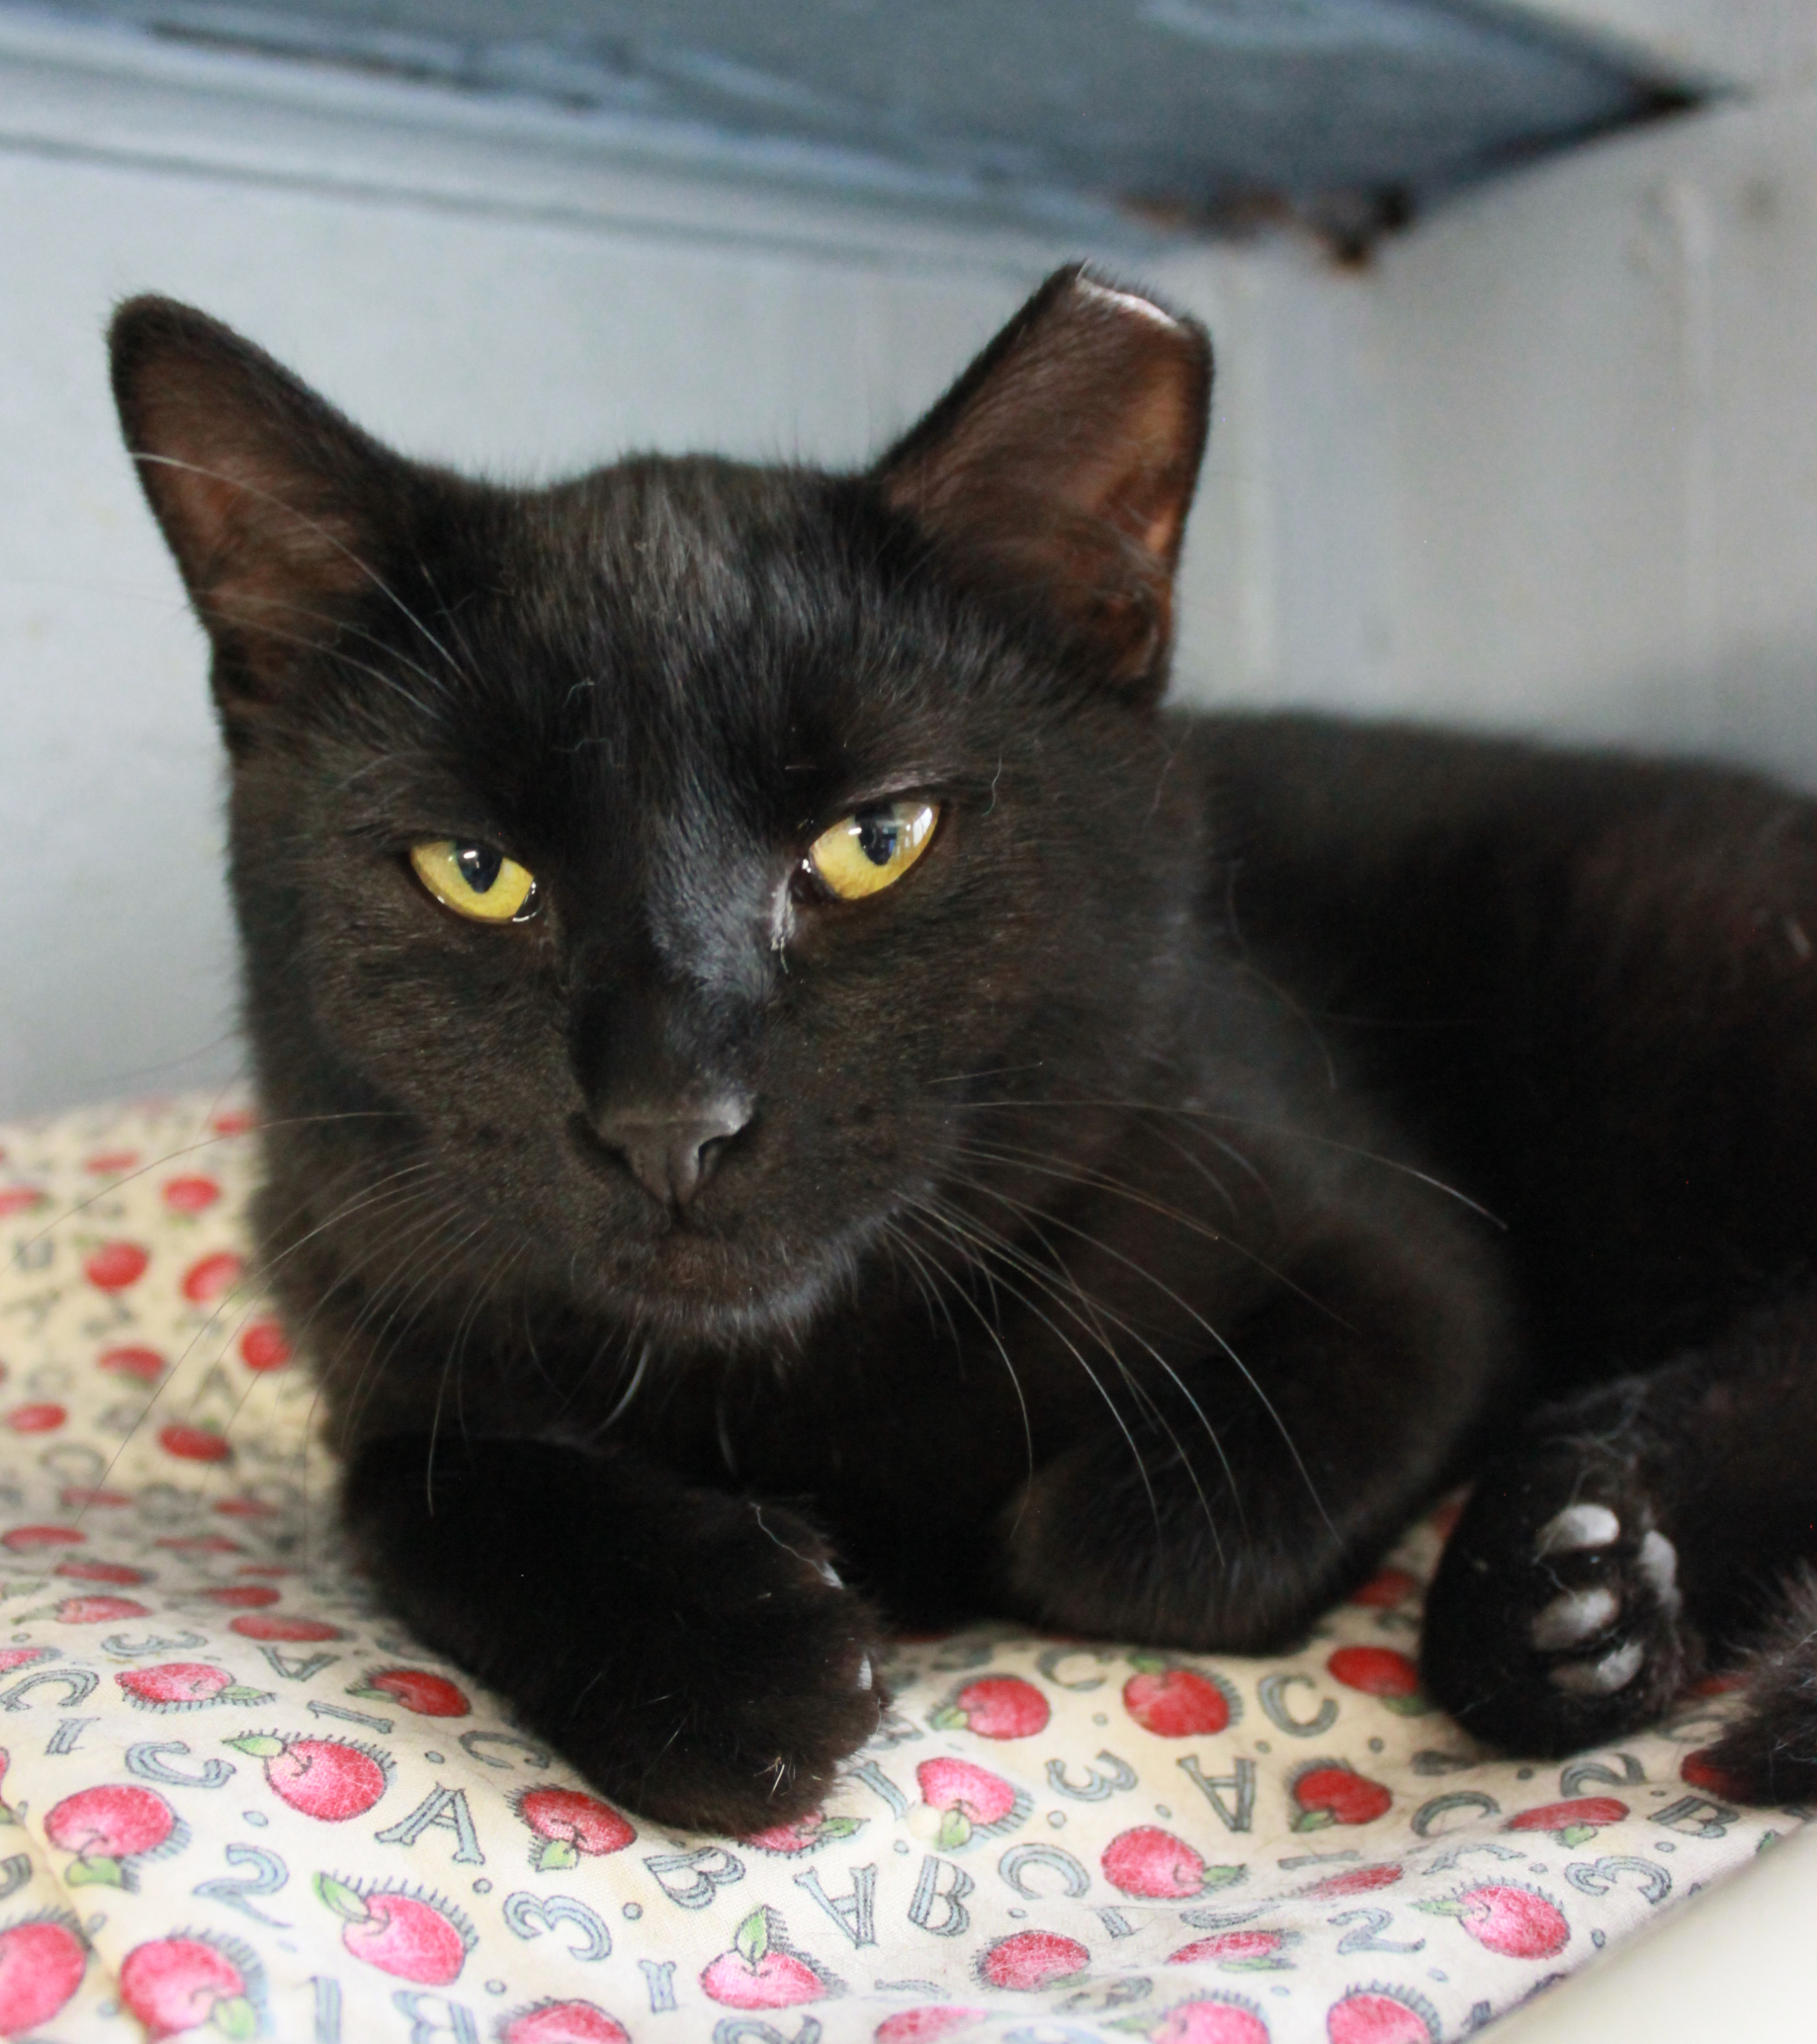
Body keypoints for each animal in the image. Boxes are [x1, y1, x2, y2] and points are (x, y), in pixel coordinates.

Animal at [106, 263, 1814, 1831]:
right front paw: (731, 1655)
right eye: (476, 873)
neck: (801, 1374)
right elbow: (416, 1498)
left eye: (875, 842)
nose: (670, 1114)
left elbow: (1119, 1551)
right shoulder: (368, 1323)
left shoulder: (1388, 1245)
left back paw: (1580, 1576)